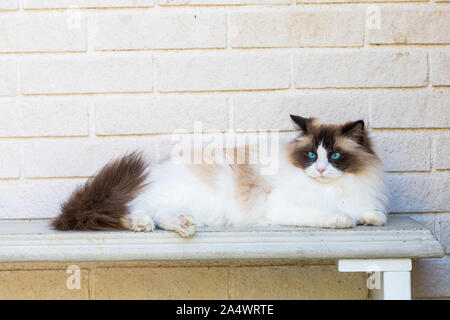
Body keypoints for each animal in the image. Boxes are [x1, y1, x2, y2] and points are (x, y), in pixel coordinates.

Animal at [53, 115, 386, 238]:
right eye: (311, 156)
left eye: (335, 156)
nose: (320, 169)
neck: (335, 187)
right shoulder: (284, 206)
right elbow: (331, 214)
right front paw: (344, 219)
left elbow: (372, 213)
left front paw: (370, 218)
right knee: (134, 212)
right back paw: (143, 225)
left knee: (162, 216)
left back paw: (184, 227)